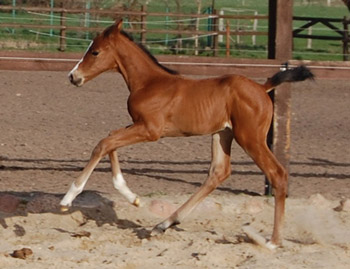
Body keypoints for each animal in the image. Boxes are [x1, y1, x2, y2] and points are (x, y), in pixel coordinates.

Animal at [60, 19, 314, 248]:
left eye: (95, 52)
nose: (73, 76)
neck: (149, 83)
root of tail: (263, 88)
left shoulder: (150, 130)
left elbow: (104, 143)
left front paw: (68, 198)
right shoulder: (139, 125)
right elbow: (110, 139)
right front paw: (132, 198)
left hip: (250, 138)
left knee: (277, 174)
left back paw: (273, 241)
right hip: (222, 134)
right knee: (218, 173)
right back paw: (163, 224)